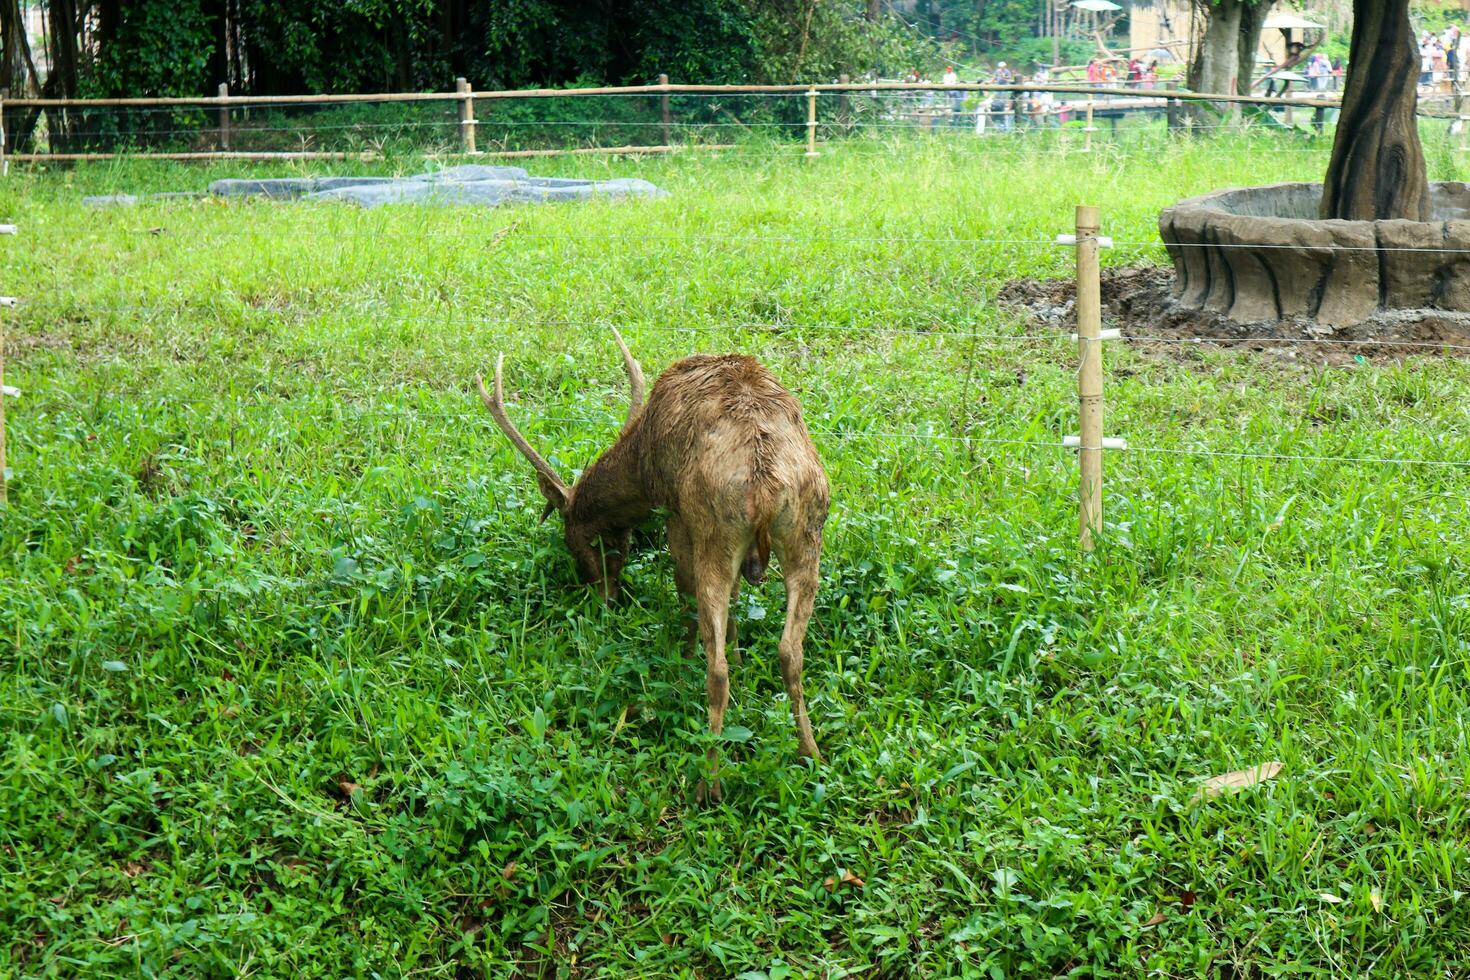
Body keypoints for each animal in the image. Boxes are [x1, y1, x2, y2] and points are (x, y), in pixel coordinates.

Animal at [479, 329, 834, 799]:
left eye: (577, 540)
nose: (604, 597)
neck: (641, 465)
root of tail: (764, 484)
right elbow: (737, 605)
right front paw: (740, 653)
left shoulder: (675, 512)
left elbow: (685, 595)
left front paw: (684, 656)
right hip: (808, 529)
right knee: (790, 650)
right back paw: (811, 754)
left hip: (713, 528)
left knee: (717, 667)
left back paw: (708, 782)